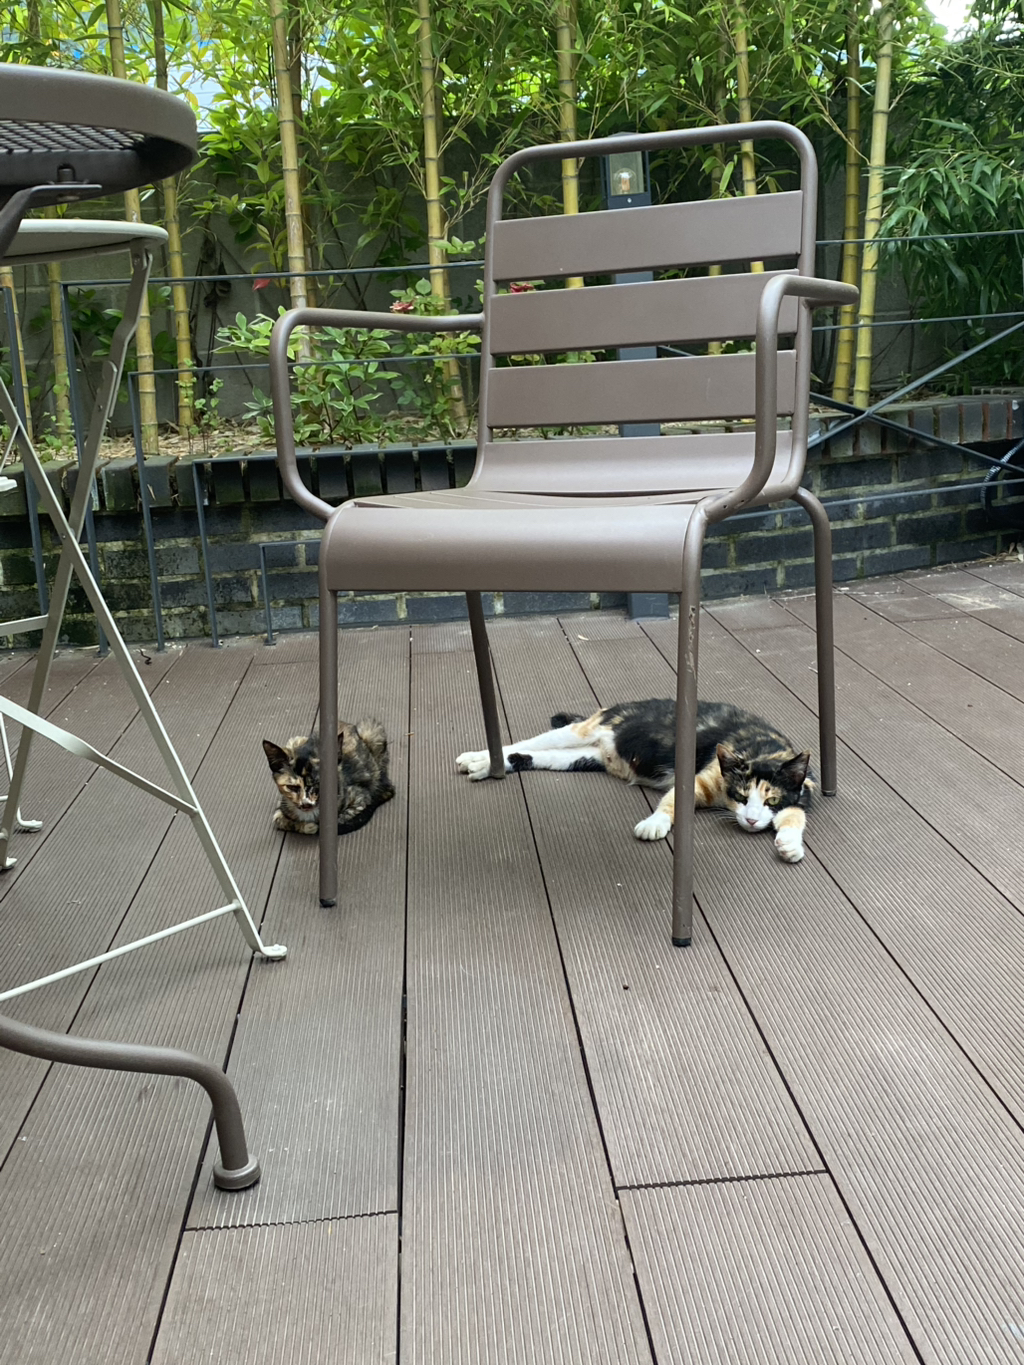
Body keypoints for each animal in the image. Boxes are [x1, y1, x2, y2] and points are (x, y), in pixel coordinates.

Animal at [263, 719, 394, 835]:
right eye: (292, 787)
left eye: (318, 785)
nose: (306, 804)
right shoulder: (282, 804)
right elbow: (279, 820)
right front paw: (307, 826)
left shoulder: (360, 798)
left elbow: (342, 819)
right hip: (295, 740)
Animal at [456, 699, 812, 862]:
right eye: (740, 794)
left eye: (771, 800)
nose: (751, 820)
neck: (762, 747)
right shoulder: (698, 780)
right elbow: (671, 801)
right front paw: (654, 824)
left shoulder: (801, 794)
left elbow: (795, 817)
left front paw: (790, 845)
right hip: (581, 730)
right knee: (525, 742)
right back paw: (476, 756)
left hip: (578, 758)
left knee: (530, 755)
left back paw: (483, 765)